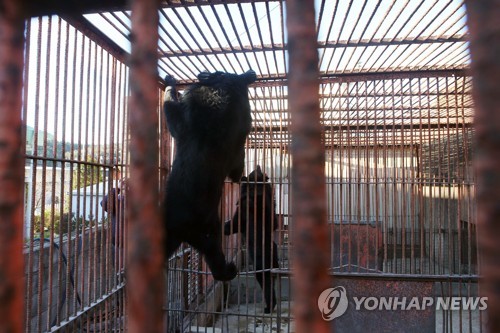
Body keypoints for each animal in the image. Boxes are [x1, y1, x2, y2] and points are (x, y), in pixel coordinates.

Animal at [164, 70, 258, 280]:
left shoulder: (183, 124)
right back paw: (230, 270)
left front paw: (170, 81)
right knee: (213, 252)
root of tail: (185, 229)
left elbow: (169, 108)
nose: (250, 73)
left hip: (193, 226)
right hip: (209, 228)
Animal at [224, 165, 280, 312]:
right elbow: (233, 224)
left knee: (266, 282)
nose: (258, 166)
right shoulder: (240, 216)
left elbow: (270, 217)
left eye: (257, 171)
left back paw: (269, 307)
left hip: (263, 261)